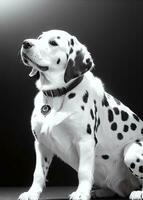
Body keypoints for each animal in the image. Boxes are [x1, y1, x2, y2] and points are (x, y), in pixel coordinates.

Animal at [18, 30, 142, 200]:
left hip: (132, 151)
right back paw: (98, 192)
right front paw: (32, 193)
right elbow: (39, 173)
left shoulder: (85, 141)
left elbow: (84, 171)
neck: (57, 95)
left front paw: (81, 193)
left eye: (53, 43)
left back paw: (138, 192)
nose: (25, 43)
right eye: (39, 38)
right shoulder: (41, 144)